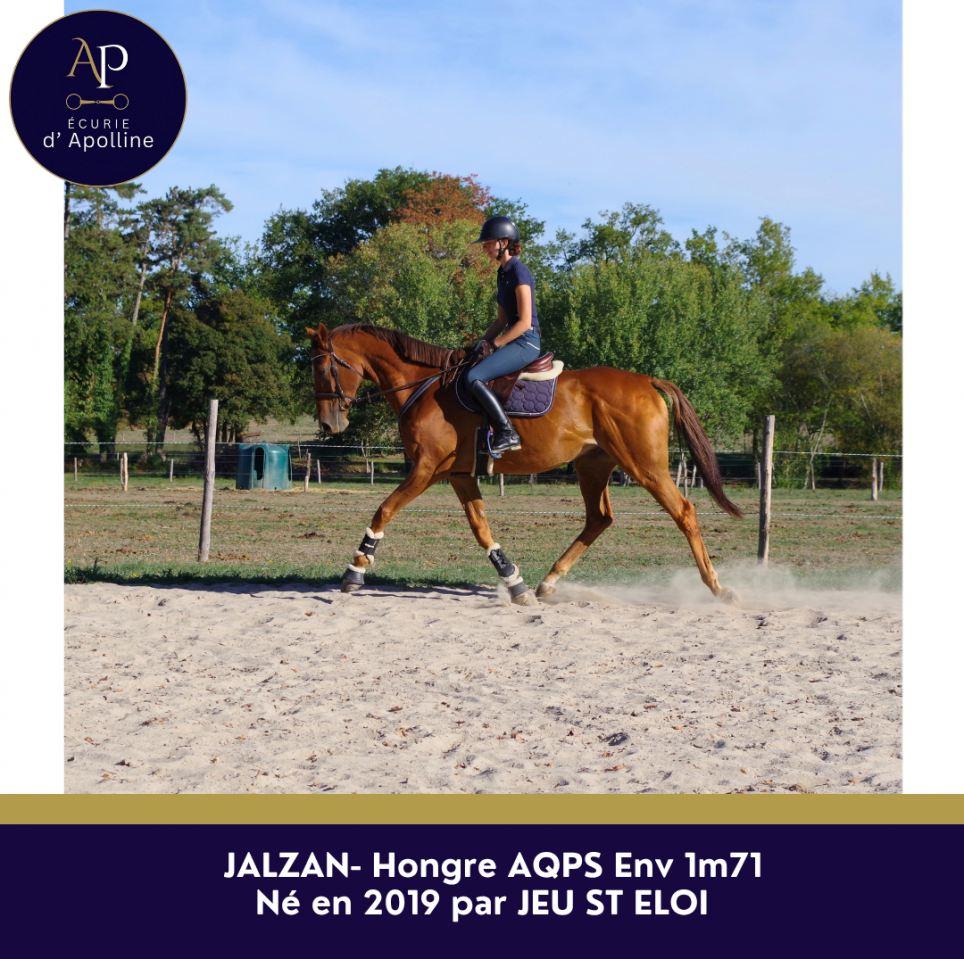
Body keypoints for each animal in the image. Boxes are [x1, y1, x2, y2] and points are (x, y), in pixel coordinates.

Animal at [307, 322, 742, 606]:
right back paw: (548, 583)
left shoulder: (427, 469)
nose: (330, 425)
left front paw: (356, 569)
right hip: (593, 465)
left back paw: (717, 587)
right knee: (599, 519)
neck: (423, 387)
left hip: (643, 466)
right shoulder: (459, 475)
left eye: (325, 368)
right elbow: (481, 528)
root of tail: (646, 380)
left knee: (683, 511)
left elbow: (384, 509)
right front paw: (512, 580)